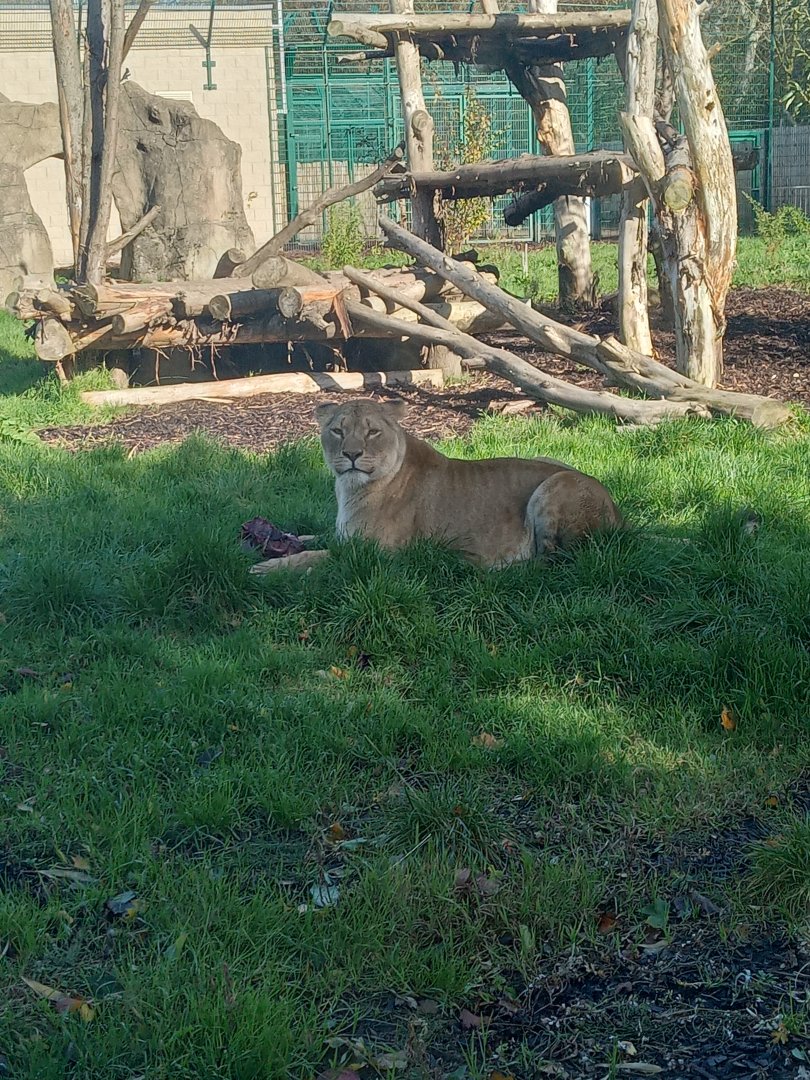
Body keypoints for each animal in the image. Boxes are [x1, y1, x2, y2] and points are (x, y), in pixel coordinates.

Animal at [250, 398, 623, 574]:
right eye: (338, 431)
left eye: (372, 432)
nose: (351, 454)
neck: (350, 490)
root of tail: (619, 512)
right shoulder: (346, 536)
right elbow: (311, 538)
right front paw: (275, 540)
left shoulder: (375, 555)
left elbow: (319, 557)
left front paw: (265, 568)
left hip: (555, 486)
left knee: (552, 560)